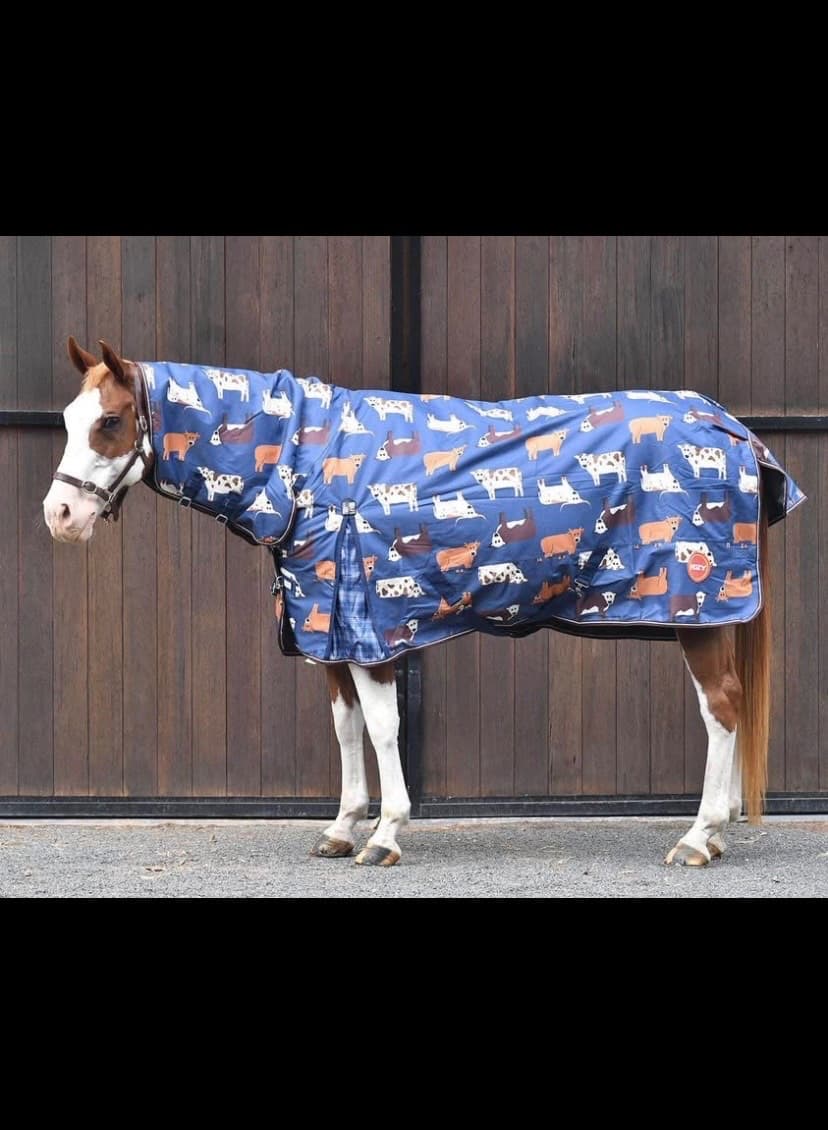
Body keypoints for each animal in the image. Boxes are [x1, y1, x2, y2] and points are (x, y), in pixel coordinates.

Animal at [42, 337, 806, 868]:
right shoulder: (327, 628)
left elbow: (383, 728)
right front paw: (342, 828)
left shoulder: (373, 629)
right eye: (71, 418)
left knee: (722, 708)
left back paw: (699, 838)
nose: (60, 515)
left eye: (110, 421)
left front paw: (385, 835)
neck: (306, 465)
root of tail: (731, 428)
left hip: (698, 614)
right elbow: (345, 726)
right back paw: (718, 831)